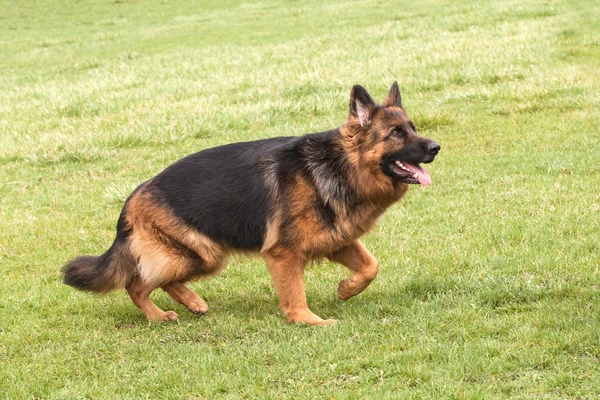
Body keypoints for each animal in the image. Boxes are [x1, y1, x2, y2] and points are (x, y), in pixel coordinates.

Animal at [63, 81, 440, 324]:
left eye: (412, 127)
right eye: (396, 134)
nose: (436, 147)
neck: (339, 165)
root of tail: (133, 196)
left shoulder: (336, 239)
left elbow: (371, 265)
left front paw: (347, 290)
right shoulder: (284, 254)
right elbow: (295, 295)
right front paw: (308, 321)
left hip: (200, 256)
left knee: (159, 280)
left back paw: (193, 303)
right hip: (200, 254)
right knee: (136, 283)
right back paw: (159, 316)